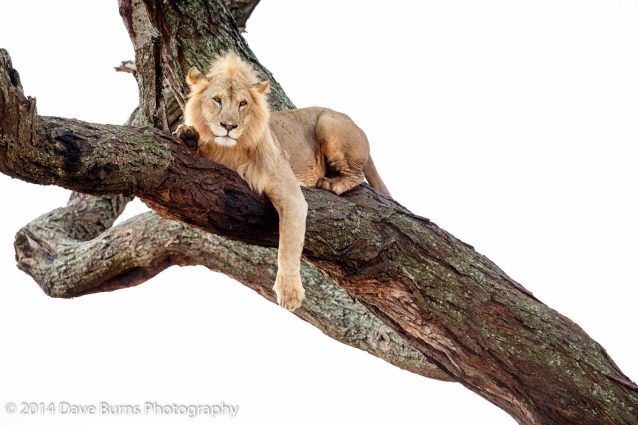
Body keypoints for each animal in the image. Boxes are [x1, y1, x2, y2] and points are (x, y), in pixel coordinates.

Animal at [178, 52, 392, 312]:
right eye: (217, 100)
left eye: (243, 104)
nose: (229, 126)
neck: (230, 149)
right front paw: (188, 136)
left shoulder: (290, 193)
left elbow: (288, 243)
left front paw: (290, 292)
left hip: (328, 122)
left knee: (357, 175)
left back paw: (331, 183)